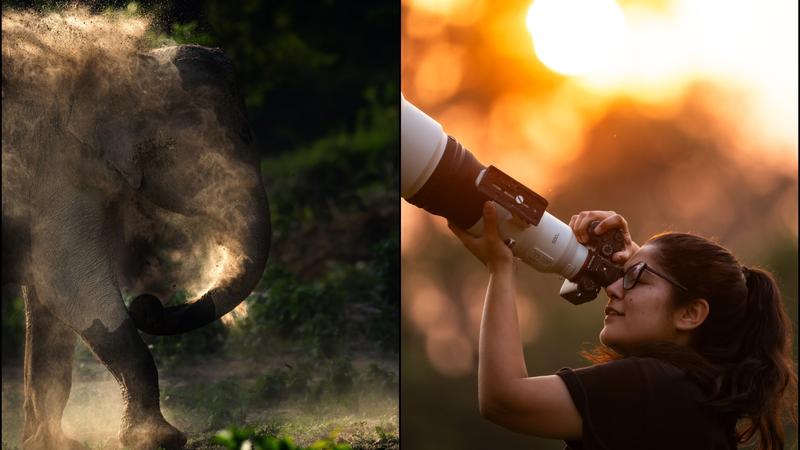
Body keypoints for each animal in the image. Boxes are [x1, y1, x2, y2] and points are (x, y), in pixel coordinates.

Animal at [2, 9, 272, 450]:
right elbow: (70, 287)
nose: (149, 304)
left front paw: (49, 442)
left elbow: (46, 302)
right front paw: (157, 438)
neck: (127, 62)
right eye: (225, 144)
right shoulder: (59, 171)